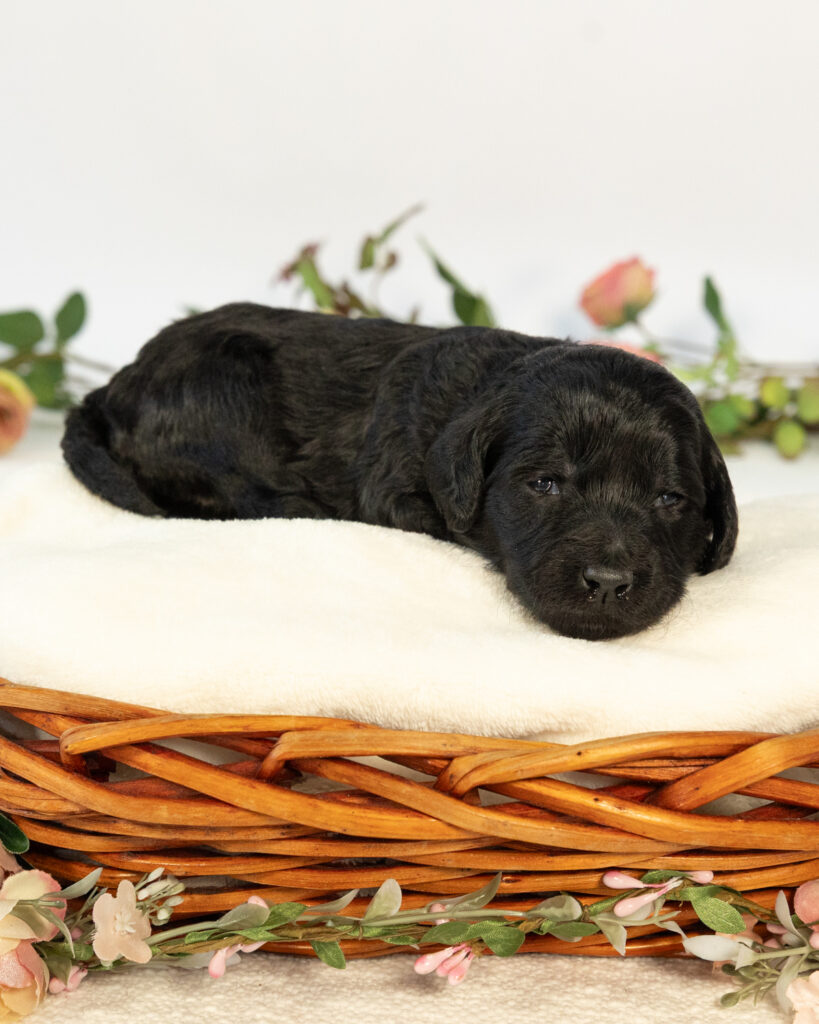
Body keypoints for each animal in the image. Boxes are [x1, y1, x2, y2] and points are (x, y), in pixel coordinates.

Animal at [62, 303, 738, 641]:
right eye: (545, 484)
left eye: (670, 499)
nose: (608, 582)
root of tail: (112, 386)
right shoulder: (393, 487)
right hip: (225, 383)